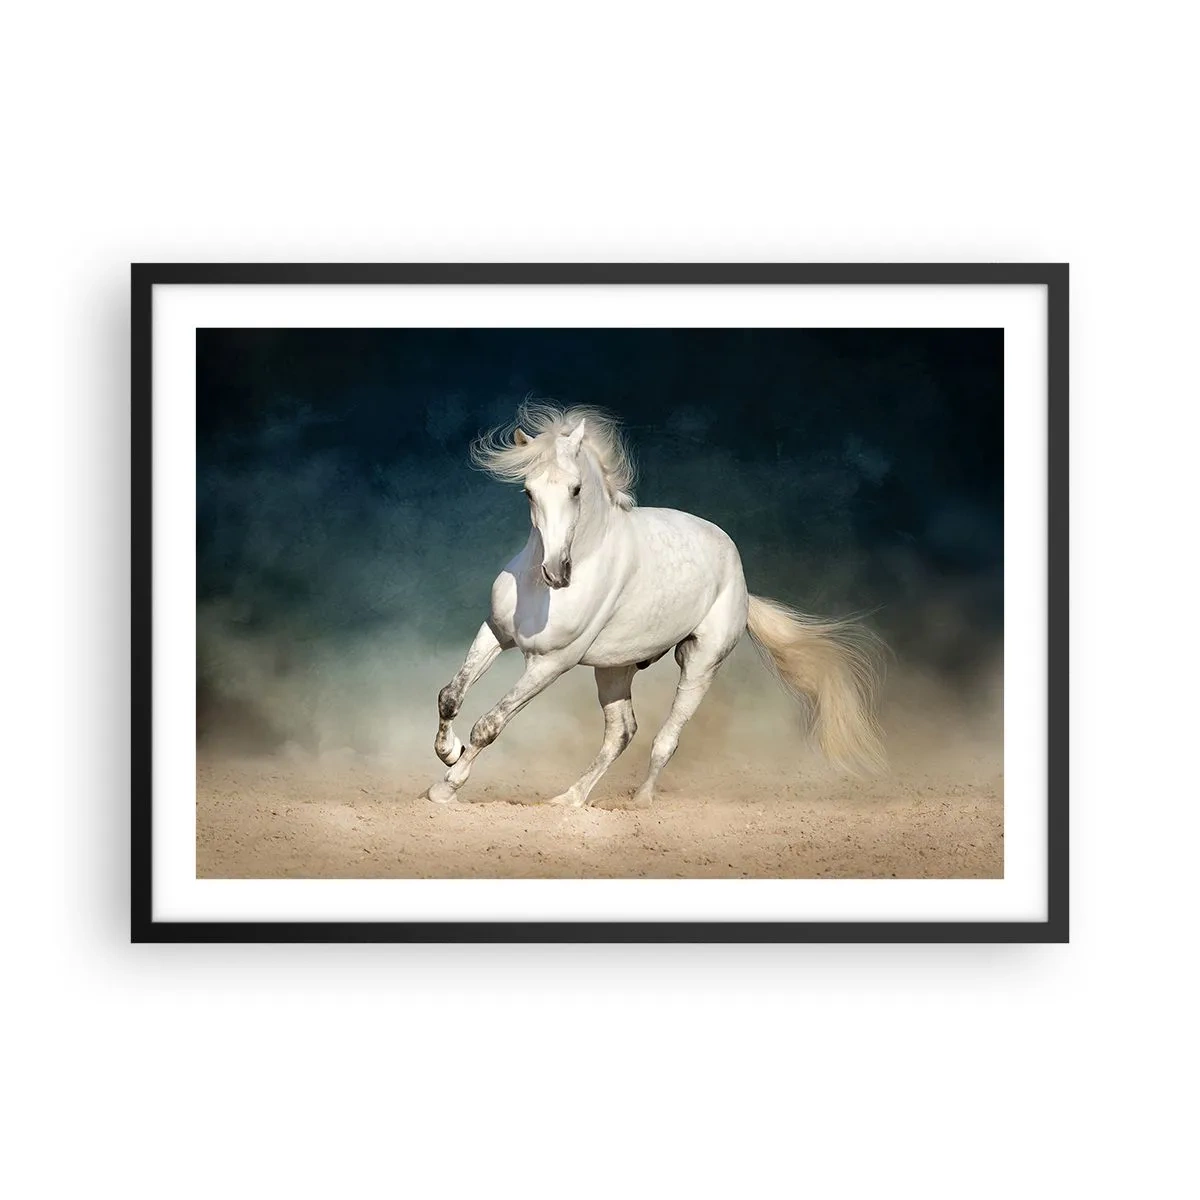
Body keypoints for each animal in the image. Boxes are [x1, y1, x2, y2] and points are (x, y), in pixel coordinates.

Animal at [426, 403, 885, 808]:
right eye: (528, 491)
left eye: (576, 489)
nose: (556, 572)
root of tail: (741, 582)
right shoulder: (496, 633)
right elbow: (450, 695)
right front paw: (448, 752)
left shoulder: (550, 663)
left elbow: (490, 724)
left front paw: (445, 788)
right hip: (614, 668)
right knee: (622, 732)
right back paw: (569, 800)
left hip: (700, 663)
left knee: (666, 738)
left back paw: (640, 802)